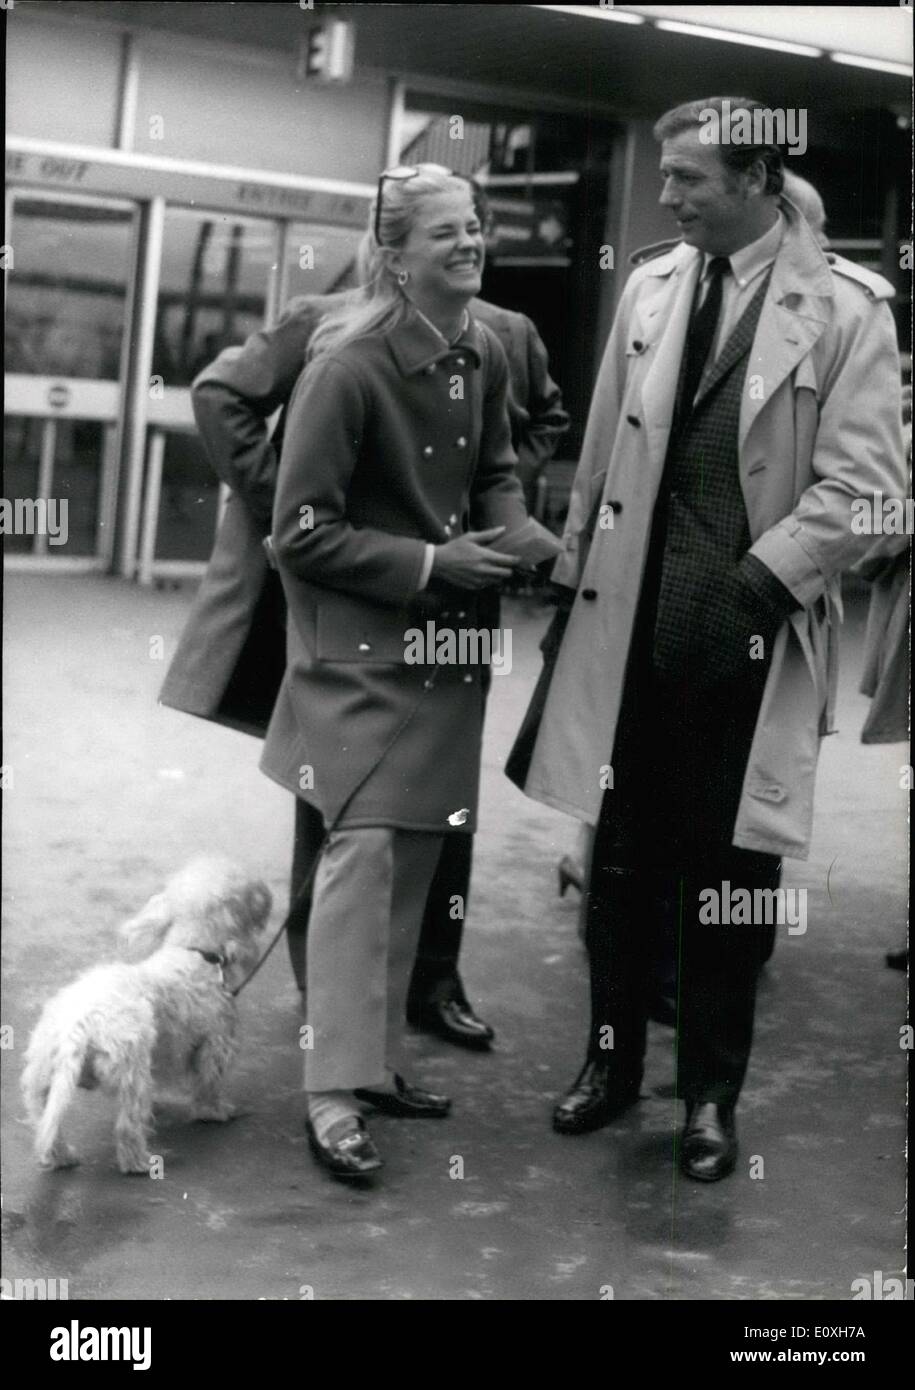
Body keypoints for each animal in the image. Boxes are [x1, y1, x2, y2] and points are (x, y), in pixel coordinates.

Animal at [20, 856, 271, 1173]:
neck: (194, 954)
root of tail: (78, 1026)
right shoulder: (214, 1045)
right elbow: (208, 1084)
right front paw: (215, 1111)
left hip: (44, 1080)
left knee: (47, 1126)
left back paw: (61, 1157)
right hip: (132, 1073)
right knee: (127, 1127)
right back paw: (139, 1162)